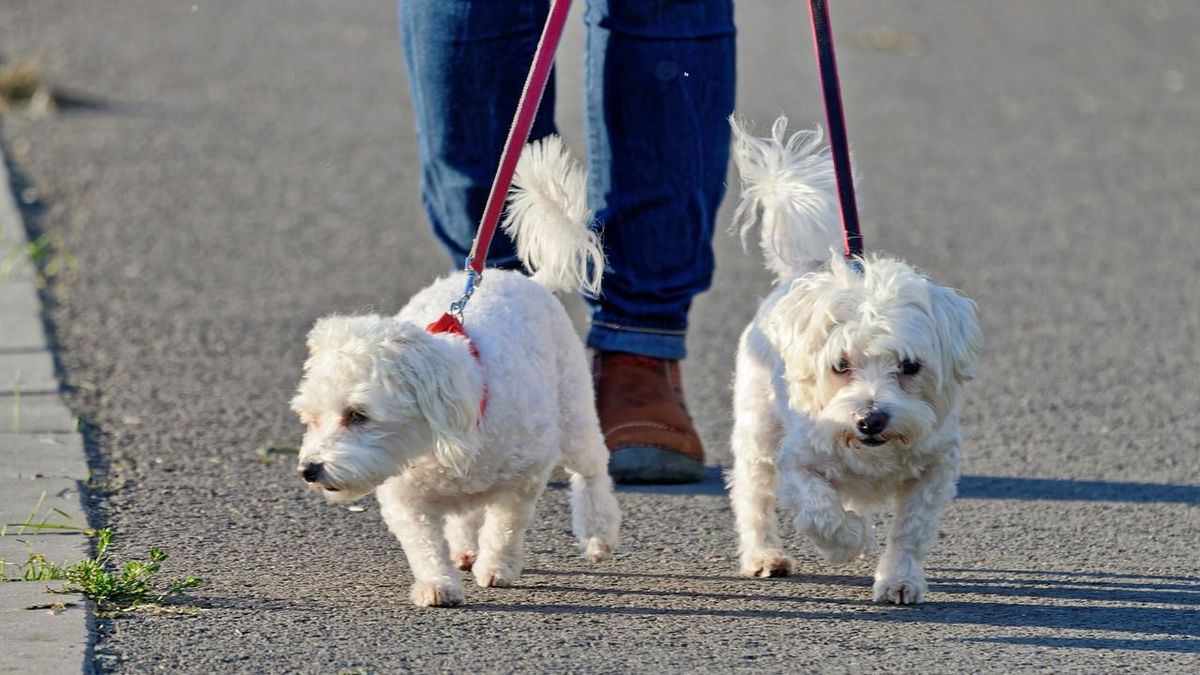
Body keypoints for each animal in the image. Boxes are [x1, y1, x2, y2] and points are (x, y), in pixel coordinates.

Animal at [292, 135, 619, 605]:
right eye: (311, 418)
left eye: (358, 415)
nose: (309, 469)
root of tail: (529, 280)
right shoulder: (405, 498)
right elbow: (423, 541)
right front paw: (437, 583)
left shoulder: (524, 477)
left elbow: (505, 526)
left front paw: (497, 567)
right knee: (464, 515)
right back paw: (463, 548)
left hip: (574, 412)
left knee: (591, 470)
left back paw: (596, 534)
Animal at [720, 112, 984, 600]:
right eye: (839, 366)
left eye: (910, 366)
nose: (870, 419)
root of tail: (797, 277)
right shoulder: (797, 460)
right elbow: (820, 511)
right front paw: (851, 539)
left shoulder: (936, 467)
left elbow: (911, 529)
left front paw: (899, 579)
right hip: (758, 428)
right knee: (752, 496)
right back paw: (764, 555)